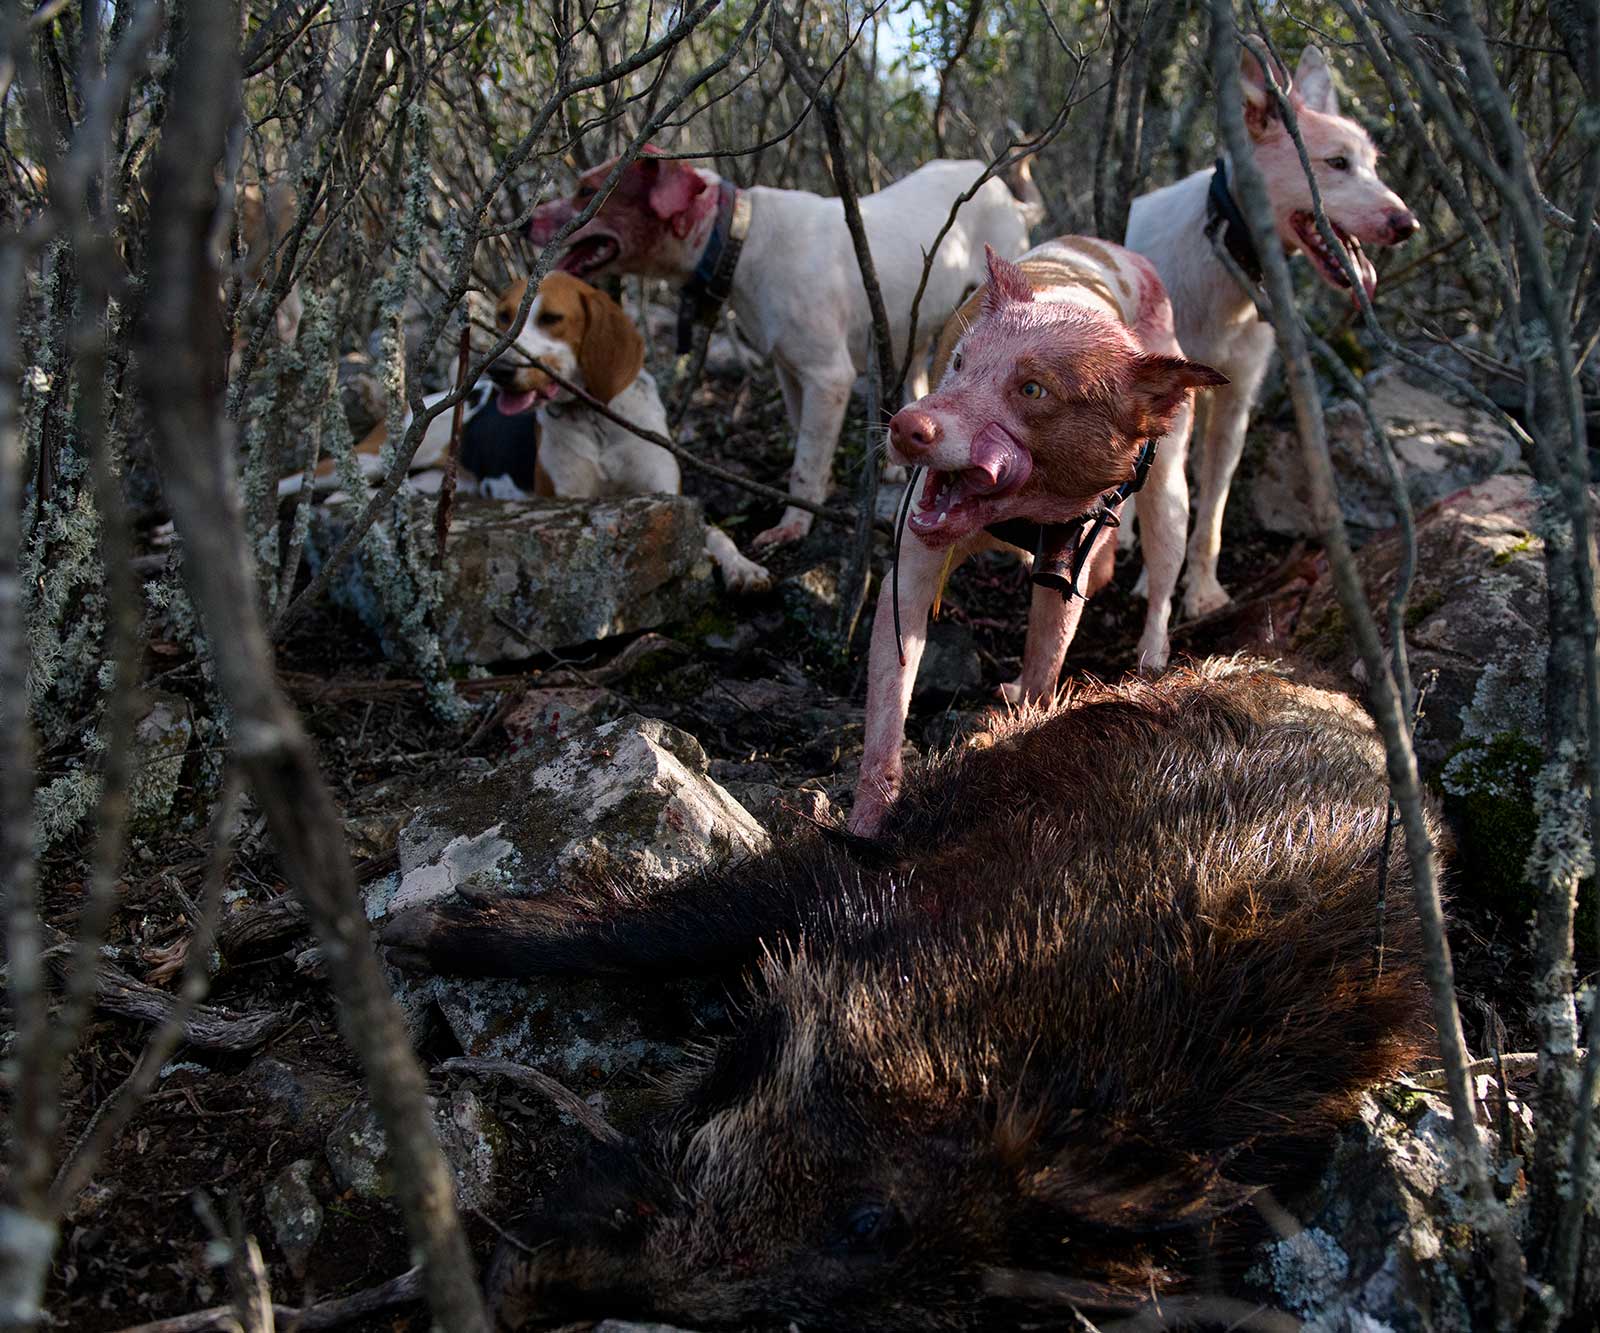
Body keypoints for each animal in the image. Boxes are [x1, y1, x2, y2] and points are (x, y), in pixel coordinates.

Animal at [531, 152, 1043, 550]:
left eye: (587, 191)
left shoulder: (827, 376)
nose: (528, 224)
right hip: (911, 326)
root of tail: (1001, 188)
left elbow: (805, 461)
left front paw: (794, 524)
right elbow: (804, 440)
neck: (741, 239)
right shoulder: (790, 370)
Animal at [851, 241, 1222, 832]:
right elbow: (891, 693)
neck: (1018, 517)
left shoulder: (1071, 553)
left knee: (1164, 567)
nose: (905, 425)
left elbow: (1047, 657)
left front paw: (1024, 734)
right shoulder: (910, 570)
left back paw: (1151, 658)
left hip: (1169, 486)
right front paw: (867, 825)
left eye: (1032, 389)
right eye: (958, 362)